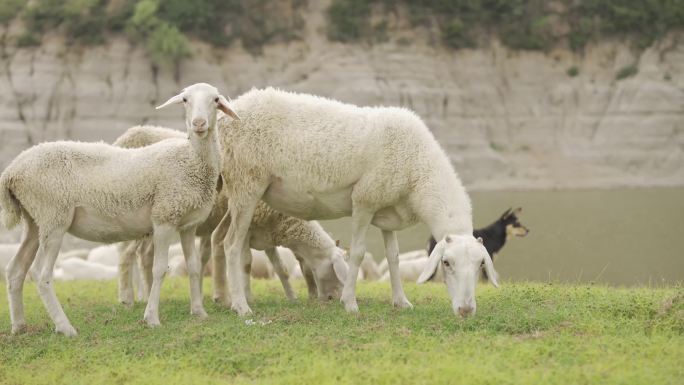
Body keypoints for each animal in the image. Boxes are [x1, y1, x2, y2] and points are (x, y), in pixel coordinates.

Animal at [112, 126, 348, 306]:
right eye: (336, 271)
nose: (330, 299)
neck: (283, 221)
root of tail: (124, 137)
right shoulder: (248, 227)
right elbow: (245, 264)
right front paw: (245, 297)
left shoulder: (267, 236)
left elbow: (280, 268)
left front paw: (291, 296)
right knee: (127, 255)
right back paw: (129, 298)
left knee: (145, 255)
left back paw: (147, 293)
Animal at [214, 87, 496, 316]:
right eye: (446, 263)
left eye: (481, 264)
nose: (466, 310)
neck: (418, 170)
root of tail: (229, 109)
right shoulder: (364, 201)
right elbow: (358, 253)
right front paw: (350, 303)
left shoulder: (387, 211)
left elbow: (393, 257)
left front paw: (401, 301)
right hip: (247, 184)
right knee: (232, 245)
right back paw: (241, 306)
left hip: (234, 194)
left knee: (219, 238)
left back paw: (224, 299)